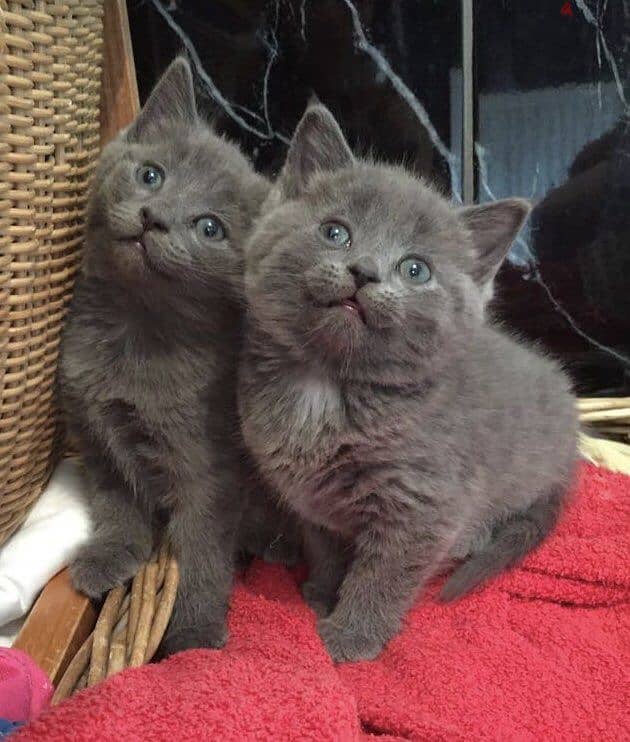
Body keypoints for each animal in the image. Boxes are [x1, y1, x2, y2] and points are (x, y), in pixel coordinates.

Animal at [61, 58, 272, 656]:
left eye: (209, 227)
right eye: (152, 175)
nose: (153, 217)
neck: (134, 334)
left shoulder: (210, 467)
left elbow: (201, 549)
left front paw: (194, 633)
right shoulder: (94, 432)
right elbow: (116, 502)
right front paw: (111, 555)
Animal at [239, 103, 580, 664]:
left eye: (415, 269)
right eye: (335, 232)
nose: (363, 271)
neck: (328, 386)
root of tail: (572, 457)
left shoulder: (422, 505)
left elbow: (382, 576)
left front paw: (348, 637)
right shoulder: (310, 498)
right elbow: (326, 549)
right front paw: (320, 592)